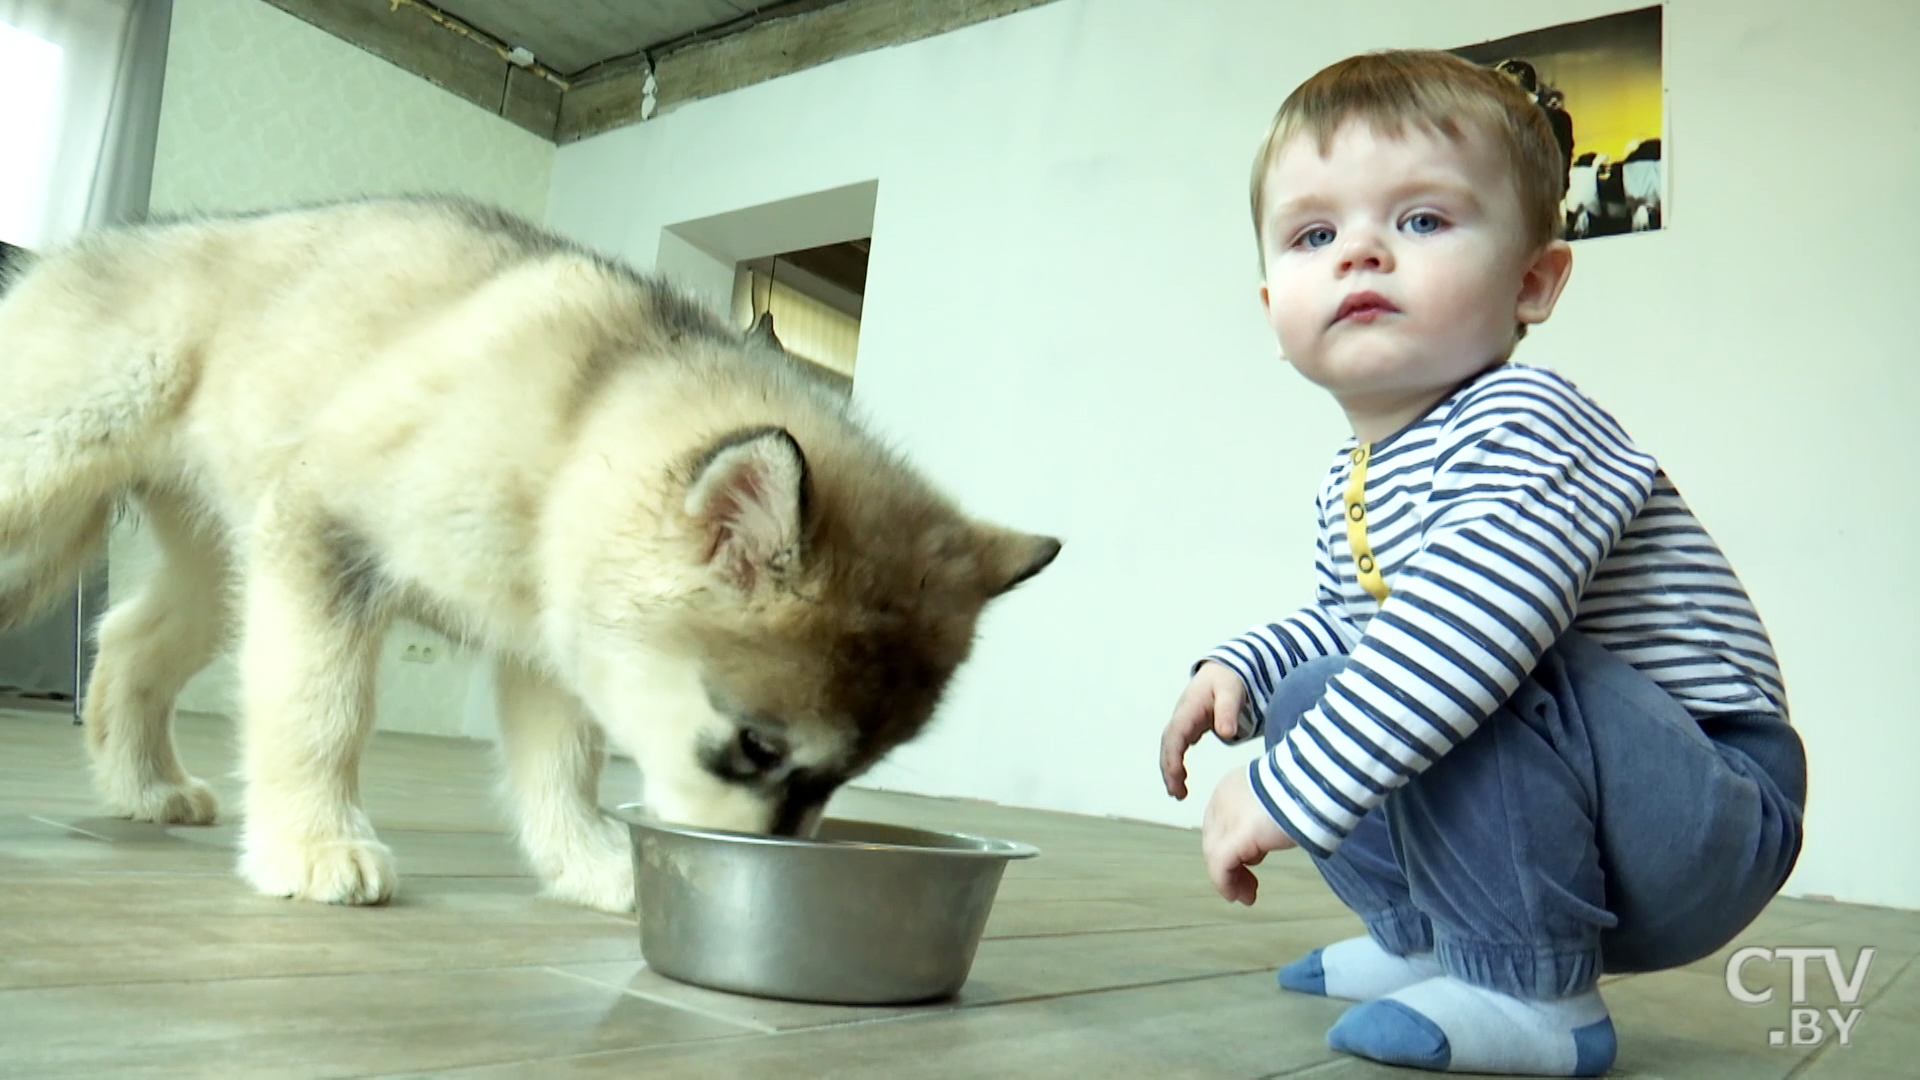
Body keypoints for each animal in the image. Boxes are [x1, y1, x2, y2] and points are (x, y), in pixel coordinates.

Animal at [0, 195, 1067, 907]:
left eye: (848, 777)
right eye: (758, 748)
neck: (571, 436)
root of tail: (83, 246)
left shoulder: (551, 643)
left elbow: (563, 764)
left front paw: (588, 861)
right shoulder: (323, 535)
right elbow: (319, 708)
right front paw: (314, 845)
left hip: (224, 565)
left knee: (130, 642)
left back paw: (143, 787)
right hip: (44, 500)